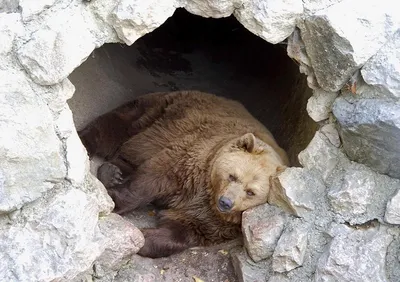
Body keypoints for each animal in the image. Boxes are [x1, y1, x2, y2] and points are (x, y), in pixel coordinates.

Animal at [78, 90, 288, 258]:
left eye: (251, 192)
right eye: (232, 176)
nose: (226, 203)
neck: (209, 190)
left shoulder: (217, 221)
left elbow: (186, 229)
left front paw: (145, 238)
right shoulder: (190, 160)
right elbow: (151, 180)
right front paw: (115, 201)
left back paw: (112, 172)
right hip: (161, 113)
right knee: (117, 126)